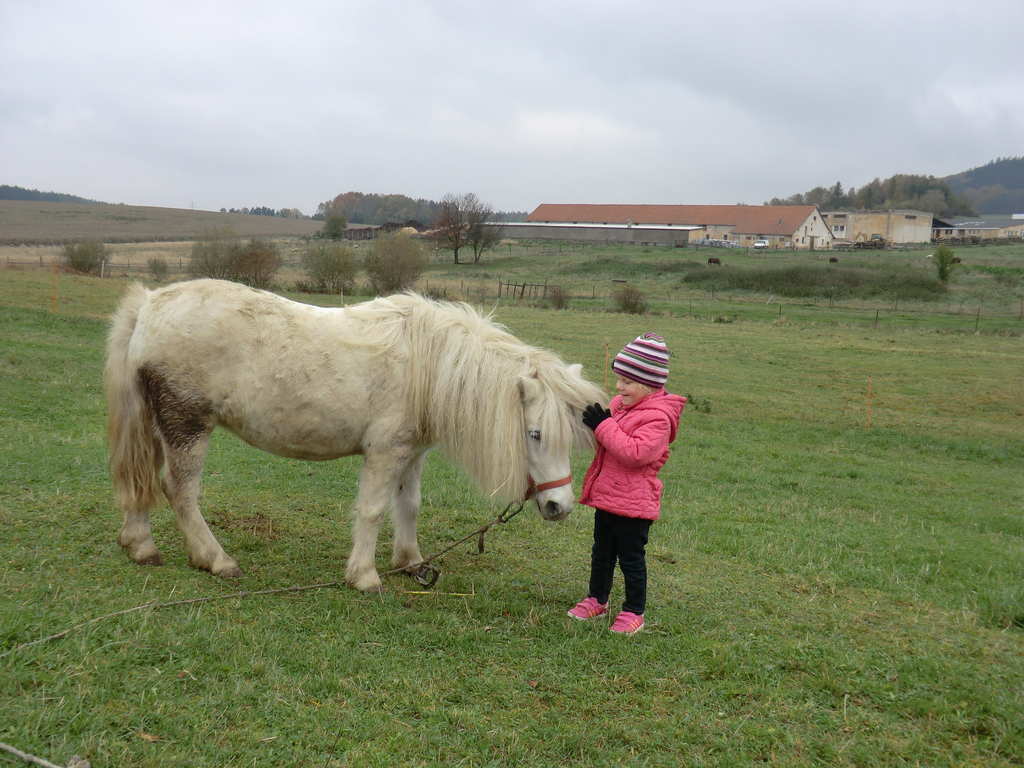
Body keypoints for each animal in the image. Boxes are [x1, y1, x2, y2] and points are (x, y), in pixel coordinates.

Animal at [105, 280, 598, 593]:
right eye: (534, 434)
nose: (559, 506)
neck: (427, 364)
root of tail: (150, 304)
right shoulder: (384, 454)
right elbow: (373, 510)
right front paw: (364, 576)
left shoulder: (412, 454)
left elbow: (409, 506)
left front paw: (411, 563)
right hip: (187, 426)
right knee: (180, 490)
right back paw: (216, 559)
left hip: (157, 425)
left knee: (141, 482)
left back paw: (140, 545)